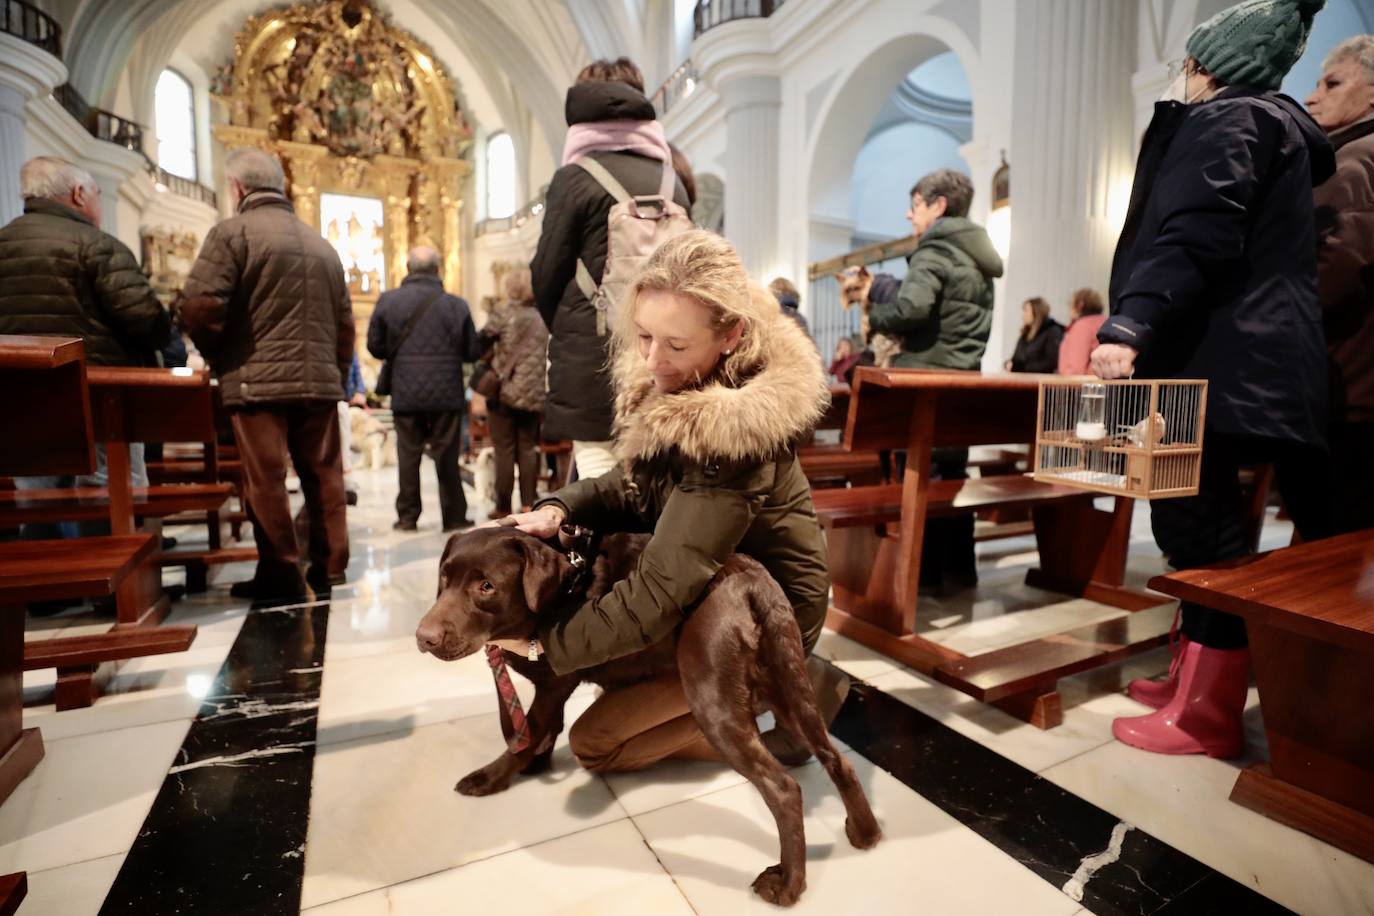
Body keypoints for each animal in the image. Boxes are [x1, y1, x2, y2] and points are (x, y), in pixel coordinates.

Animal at [412, 527, 879, 906]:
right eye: (444, 579)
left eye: (486, 586)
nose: (423, 637)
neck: (558, 593)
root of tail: (751, 581)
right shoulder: (553, 689)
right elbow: (544, 730)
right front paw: (536, 764)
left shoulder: (553, 683)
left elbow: (525, 735)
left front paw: (490, 778)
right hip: (785, 683)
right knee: (837, 758)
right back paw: (865, 832)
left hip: (713, 699)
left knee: (783, 788)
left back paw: (788, 884)